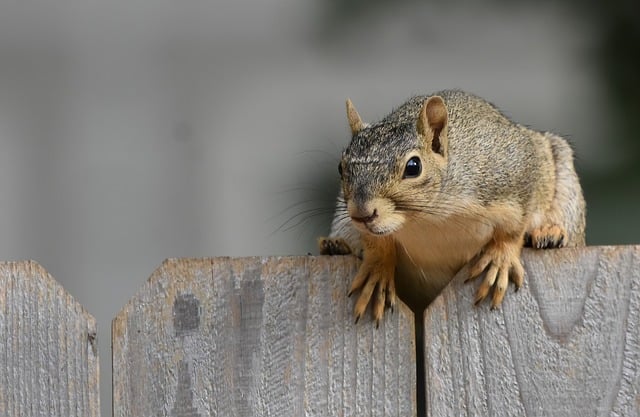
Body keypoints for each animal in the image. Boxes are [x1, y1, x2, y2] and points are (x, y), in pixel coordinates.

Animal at [319, 89, 586, 324]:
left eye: (413, 167)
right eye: (341, 167)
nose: (361, 214)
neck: (426, 219)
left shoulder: (512, 176)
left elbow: (513, 226)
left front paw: (500, 257)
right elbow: (376, 243)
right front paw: (377, 269)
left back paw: (550, 233)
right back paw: (335, 245)